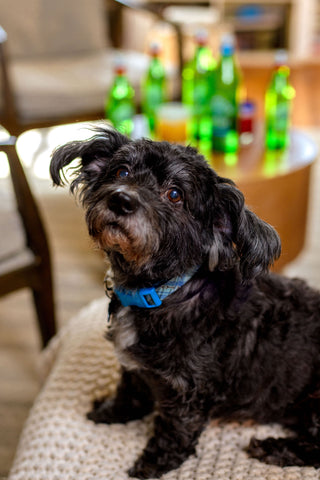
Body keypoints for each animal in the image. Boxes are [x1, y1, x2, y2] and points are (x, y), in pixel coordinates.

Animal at [50, 128, 320, 480]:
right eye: (121, 172)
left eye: (175, 194)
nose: (121, 199)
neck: (162, 294)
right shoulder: (134, 370)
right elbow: (128, 391)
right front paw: (110, 412)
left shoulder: (188, 393)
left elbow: (174, 432)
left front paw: (151, 464)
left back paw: (273, 448)